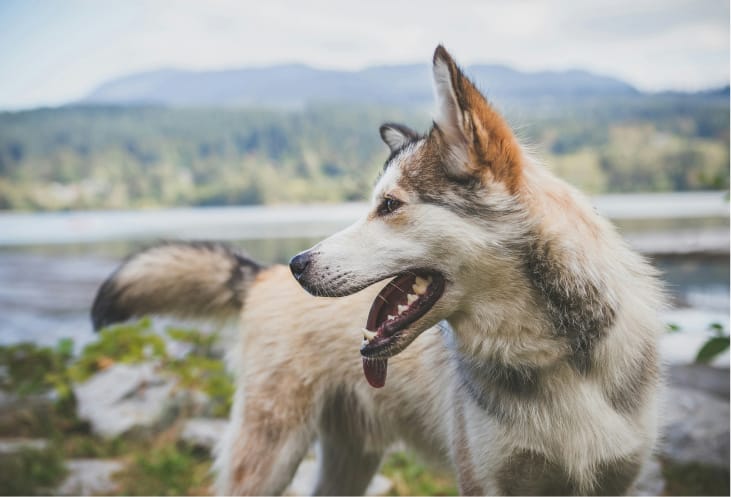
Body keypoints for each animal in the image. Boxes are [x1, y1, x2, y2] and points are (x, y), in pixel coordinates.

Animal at [91, 45, 664, 492]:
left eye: (388, 206)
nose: (299, 264)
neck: (559, 359)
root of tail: (261, 275)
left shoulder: (615, 479)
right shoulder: (486, 482)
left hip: (349, 461)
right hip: (270, 456)